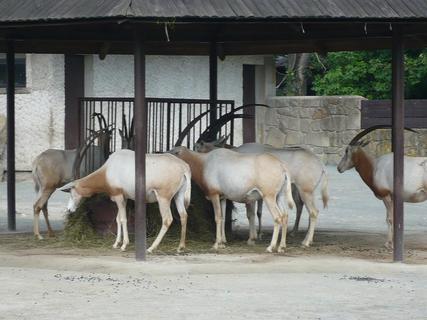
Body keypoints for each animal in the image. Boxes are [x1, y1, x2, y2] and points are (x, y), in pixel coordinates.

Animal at [59, 149, 191, 252]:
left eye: (71, 192)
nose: (69, 209)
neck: (108, 170)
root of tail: (184, 167)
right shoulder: (124, 197)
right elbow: (118, 219)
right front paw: (116, 244)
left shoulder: (118, 196)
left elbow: (123, 219)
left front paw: (124, 245)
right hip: (178, 196)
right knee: (183, 215)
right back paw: (180, 247)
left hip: (163, 198)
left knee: (167, 219)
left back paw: (151, 248)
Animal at [196, 138, 330, 248]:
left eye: (198, 147)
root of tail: (321, 165)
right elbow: (256, 213)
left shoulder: (251, 196)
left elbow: (251, 214)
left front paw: (253, 238)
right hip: (302, 191)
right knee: (305, 208)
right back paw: (302, 236)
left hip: (304, 191)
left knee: (312, 211)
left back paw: (305, 242)